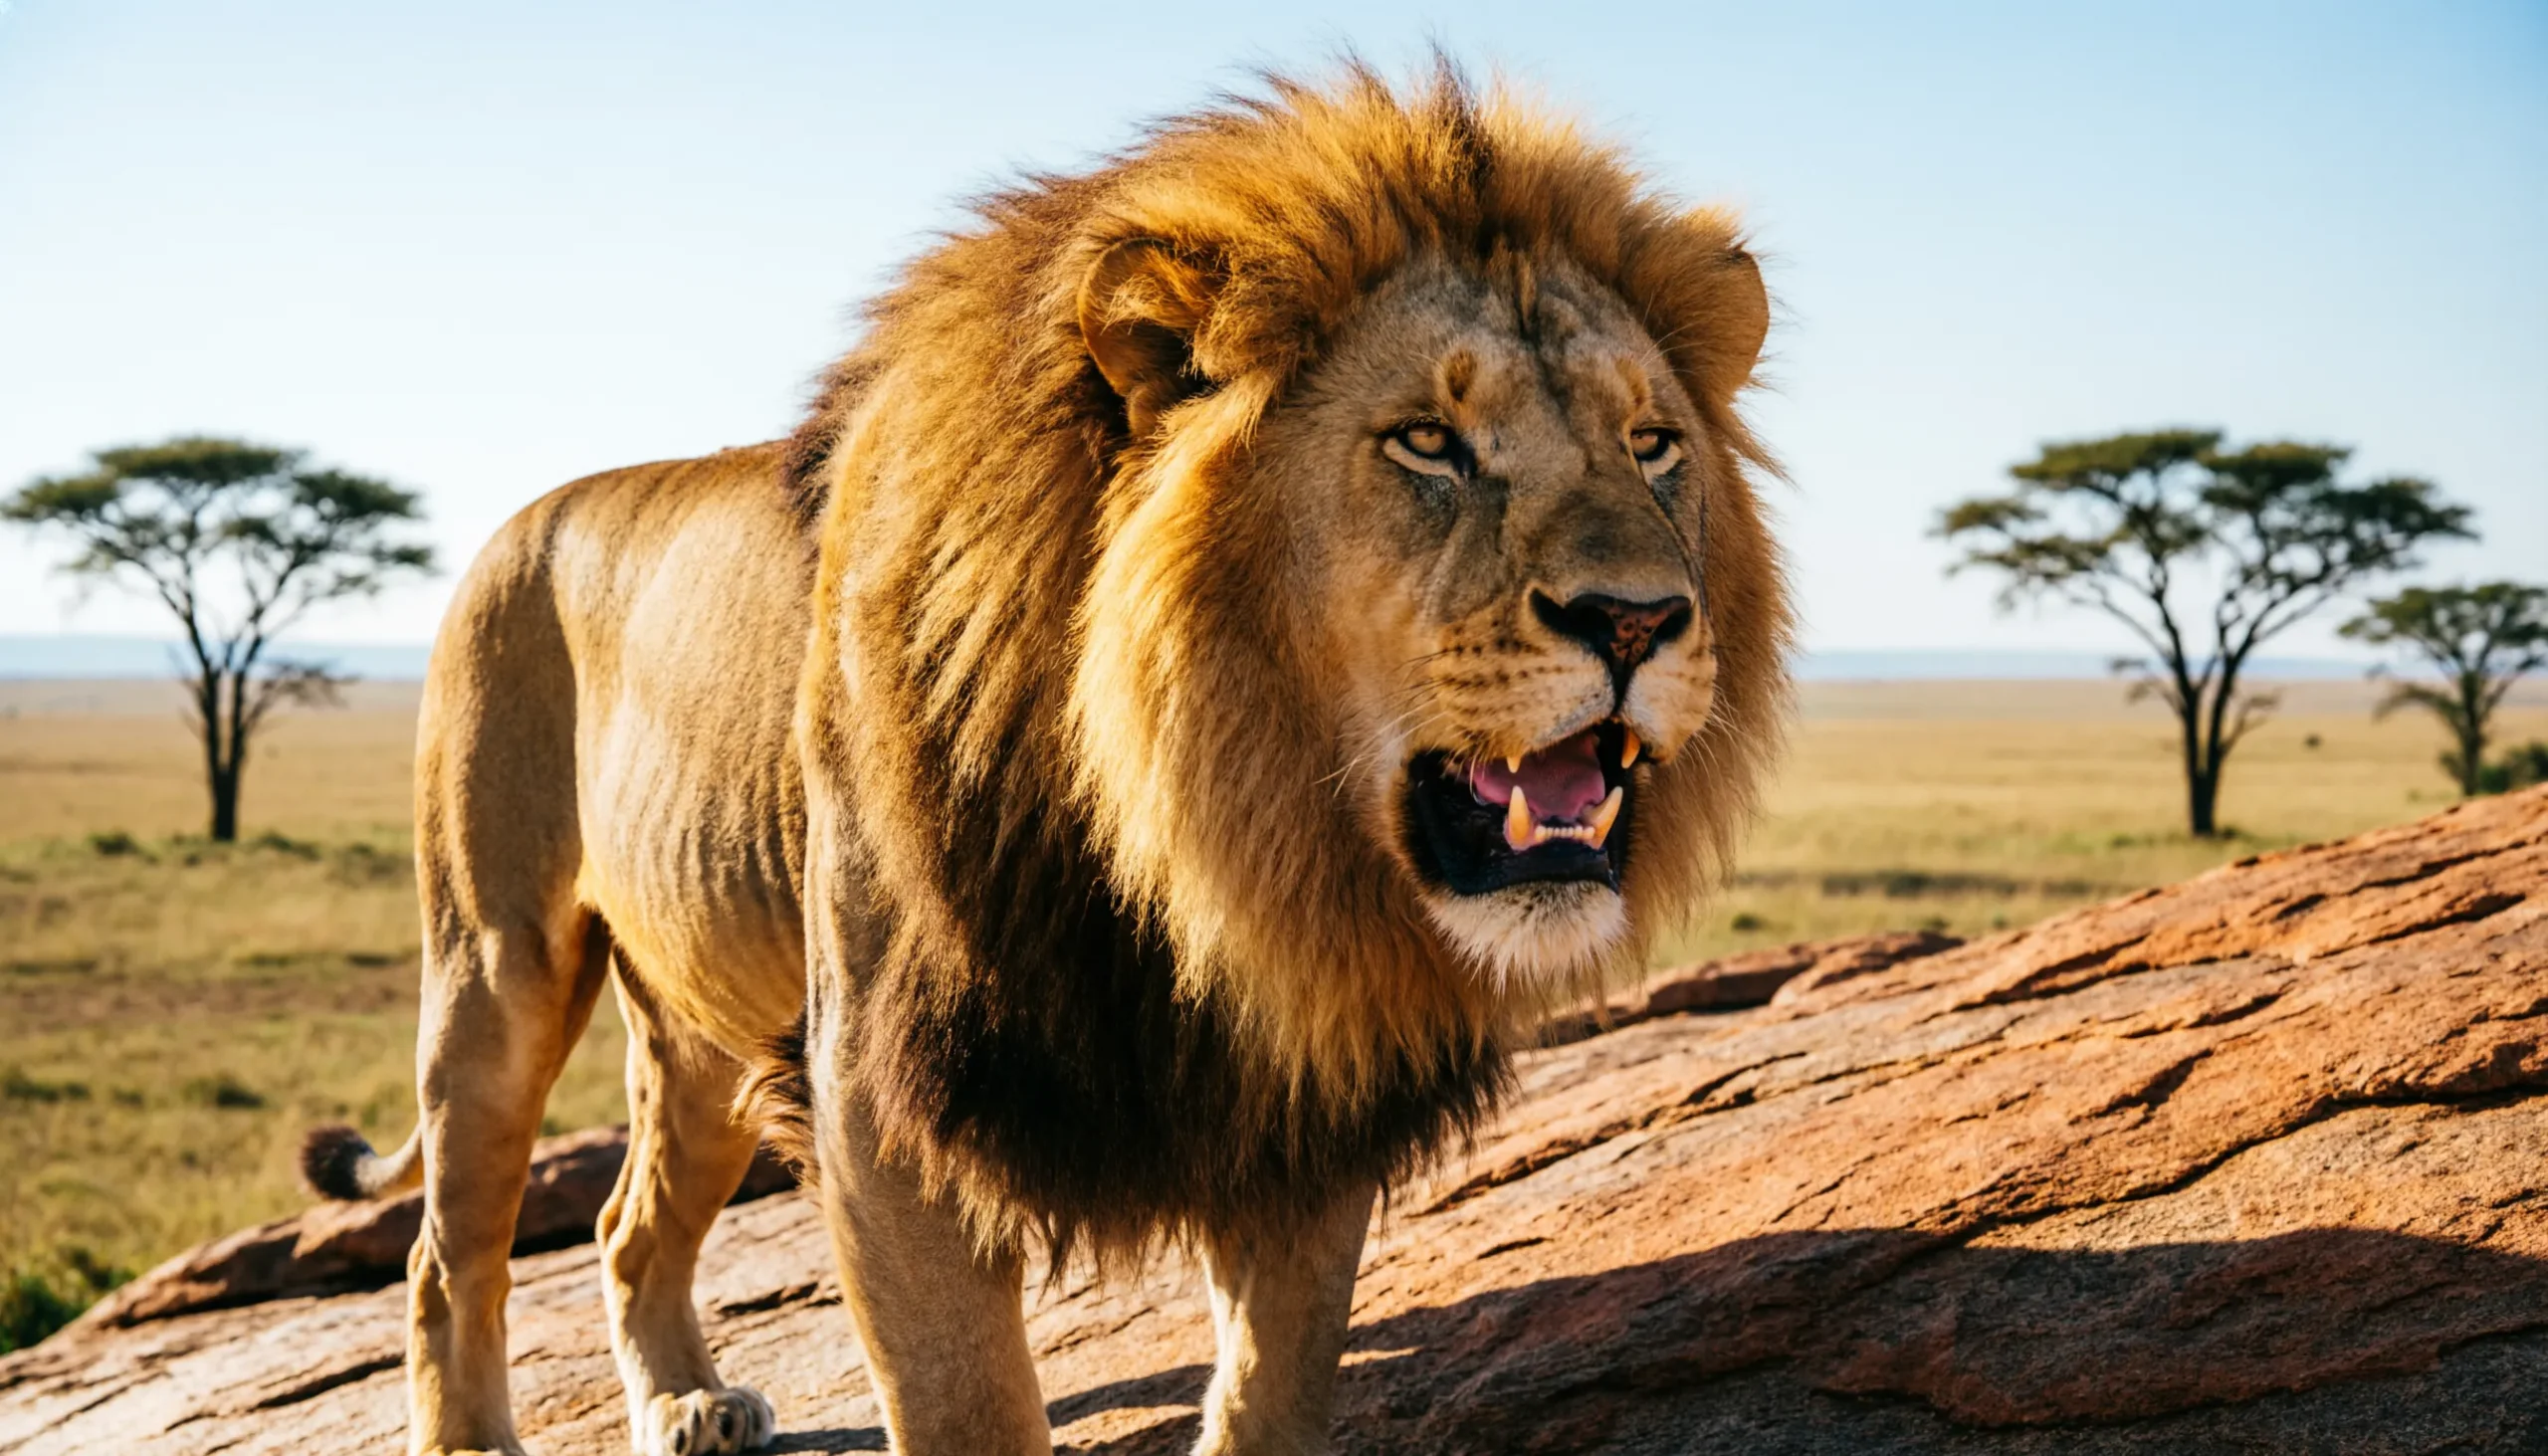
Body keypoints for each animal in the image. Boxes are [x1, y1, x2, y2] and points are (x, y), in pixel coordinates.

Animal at [300, 62, 1789, 1456]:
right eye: (1427, 439)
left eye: (1653, 444)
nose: (1638, 619)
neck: (1199, 838)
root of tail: (524, 516)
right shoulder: (878, 1100)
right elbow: (970, 1402)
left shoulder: (1295, 1100)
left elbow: (1274, 1385)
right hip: (494, 969)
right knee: (445, 1253)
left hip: (706, 1024)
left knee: (621, 1220)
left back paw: (688, 1398)